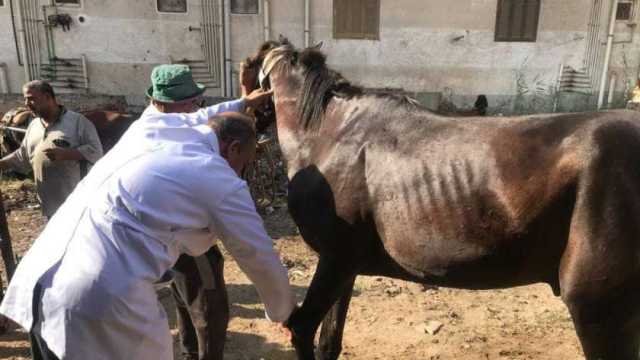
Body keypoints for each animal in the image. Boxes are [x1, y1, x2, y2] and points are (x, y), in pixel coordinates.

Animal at [258, 40, 640, 358]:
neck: (329, 135)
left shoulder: (335, 259)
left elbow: (302, 329)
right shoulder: (346, 266)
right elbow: (329, 342)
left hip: (598, 311)